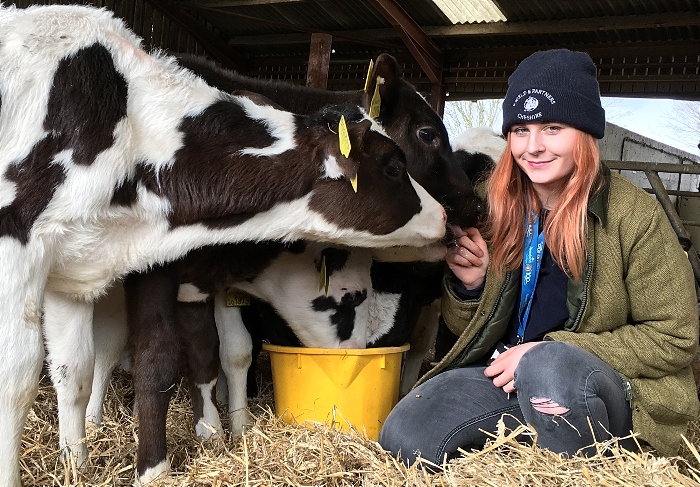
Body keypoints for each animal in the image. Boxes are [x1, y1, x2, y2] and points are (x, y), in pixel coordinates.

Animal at [0, 4, 446, 487]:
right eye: (396, 164)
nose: (447, 216)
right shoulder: (30, 250)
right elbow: (33, 376)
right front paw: (159, 463)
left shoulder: (88, 262)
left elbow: (84, 368)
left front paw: (79, 463)